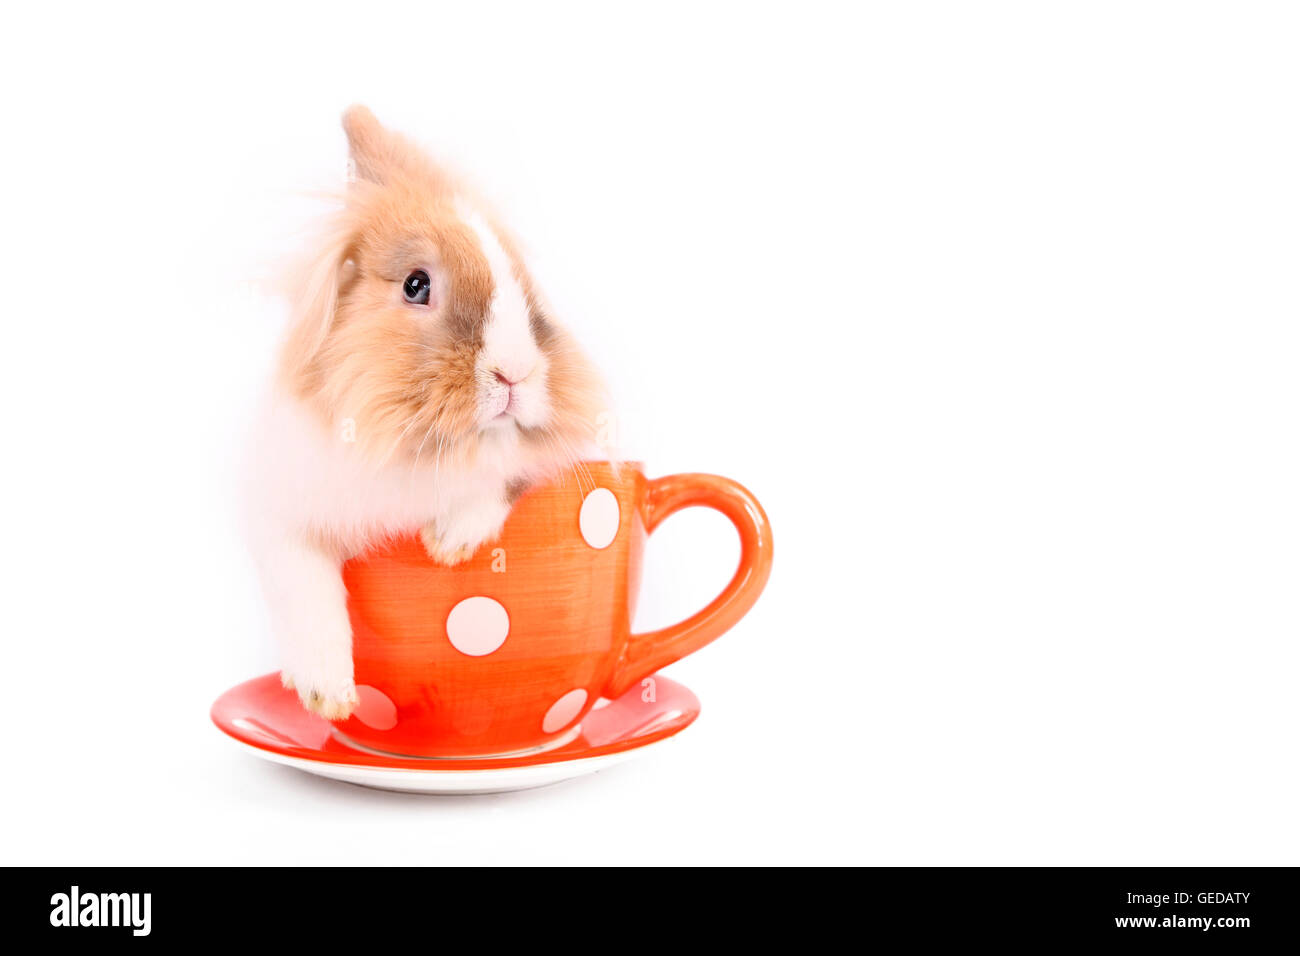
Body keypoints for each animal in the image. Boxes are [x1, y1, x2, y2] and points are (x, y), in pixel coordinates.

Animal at [243, 105, 607, 720]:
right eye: (416, 285)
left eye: (524, 288)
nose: (515, 372)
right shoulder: (286, 517)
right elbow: (308, 591)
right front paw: (327, 695)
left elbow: (499, 481)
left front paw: (449, 543)